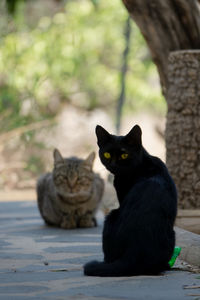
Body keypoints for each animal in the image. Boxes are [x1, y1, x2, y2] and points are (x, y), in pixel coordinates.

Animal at [83, 124, 177, 276]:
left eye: (124, 155)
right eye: (107, 154)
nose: (113, 164)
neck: (143, 163)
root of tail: (134, 252)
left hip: (111, 216)